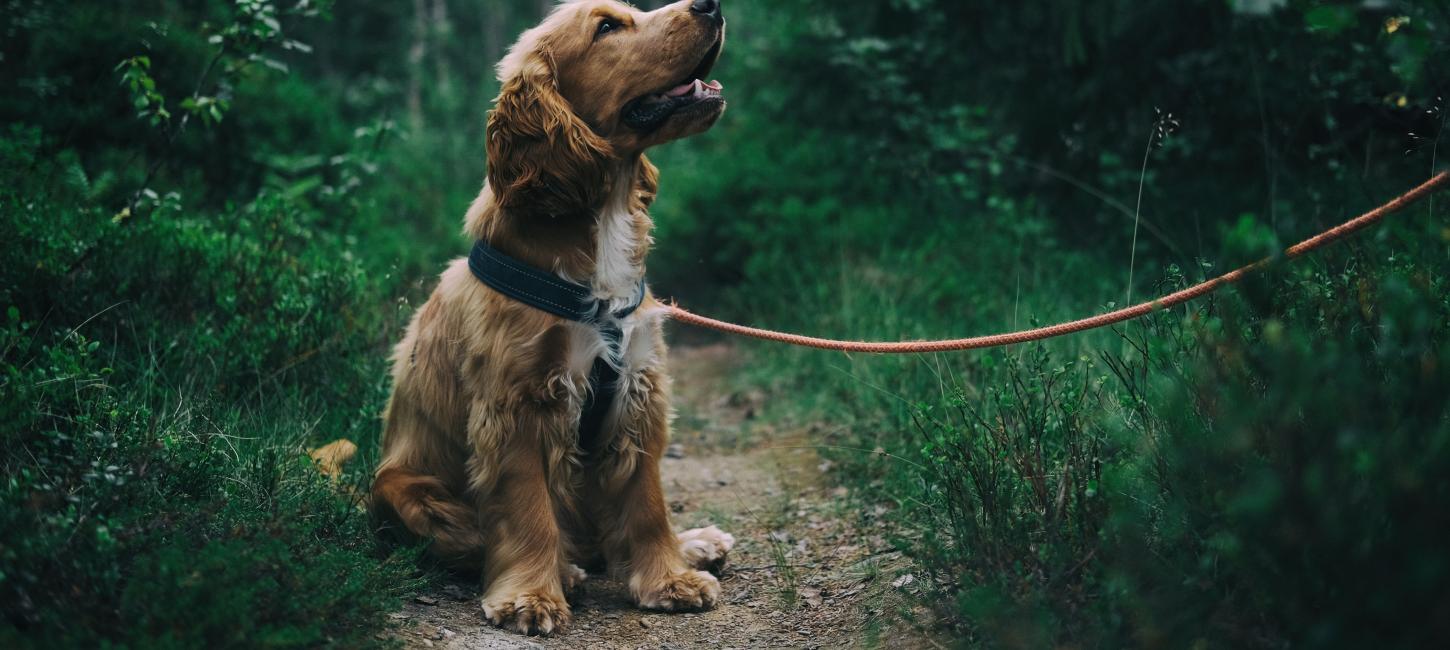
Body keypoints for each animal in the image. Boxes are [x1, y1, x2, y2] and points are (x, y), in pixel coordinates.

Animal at [371, 0, 736, 638]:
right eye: (607, 27)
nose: (710, 5)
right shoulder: (518, 403)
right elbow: (528, 509)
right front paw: (531, 596)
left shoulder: (638, 388)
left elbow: (647, 502)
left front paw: (670, 578)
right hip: (403, 488)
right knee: (483, 537)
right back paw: (564, 570)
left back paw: (693, 543)